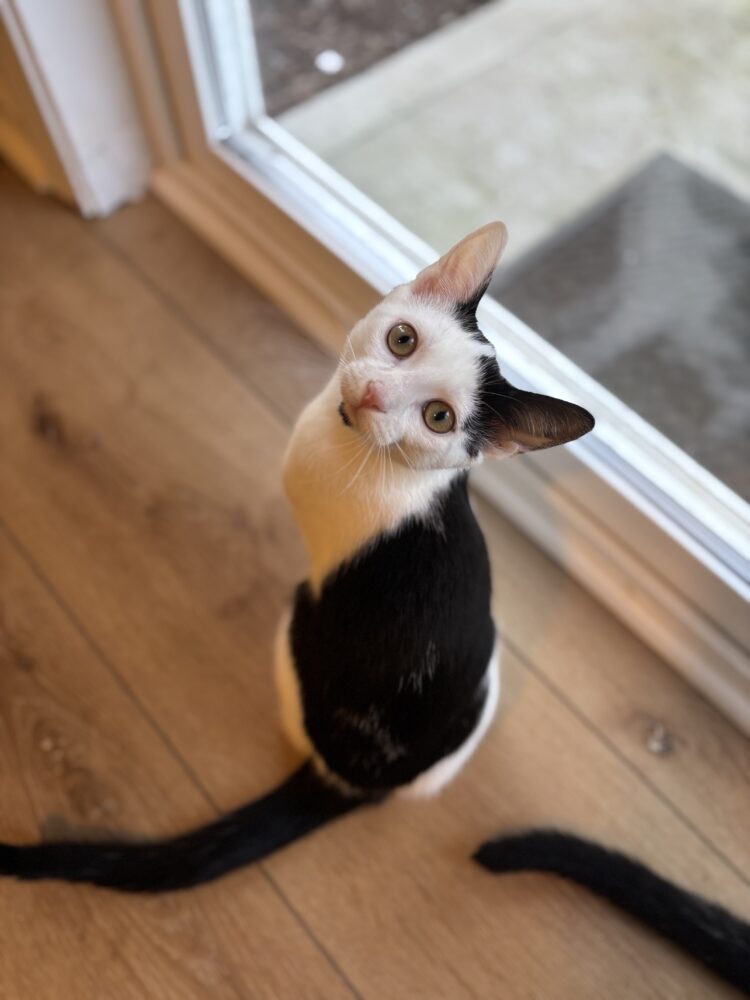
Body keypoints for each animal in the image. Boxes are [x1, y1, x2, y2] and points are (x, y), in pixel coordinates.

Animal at [1, 223, 748, 993]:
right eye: (402, 339)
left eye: (439, 417)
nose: (369, 390)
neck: (365, 453)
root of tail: (357, 777)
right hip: (485, 684)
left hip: (296, 620)